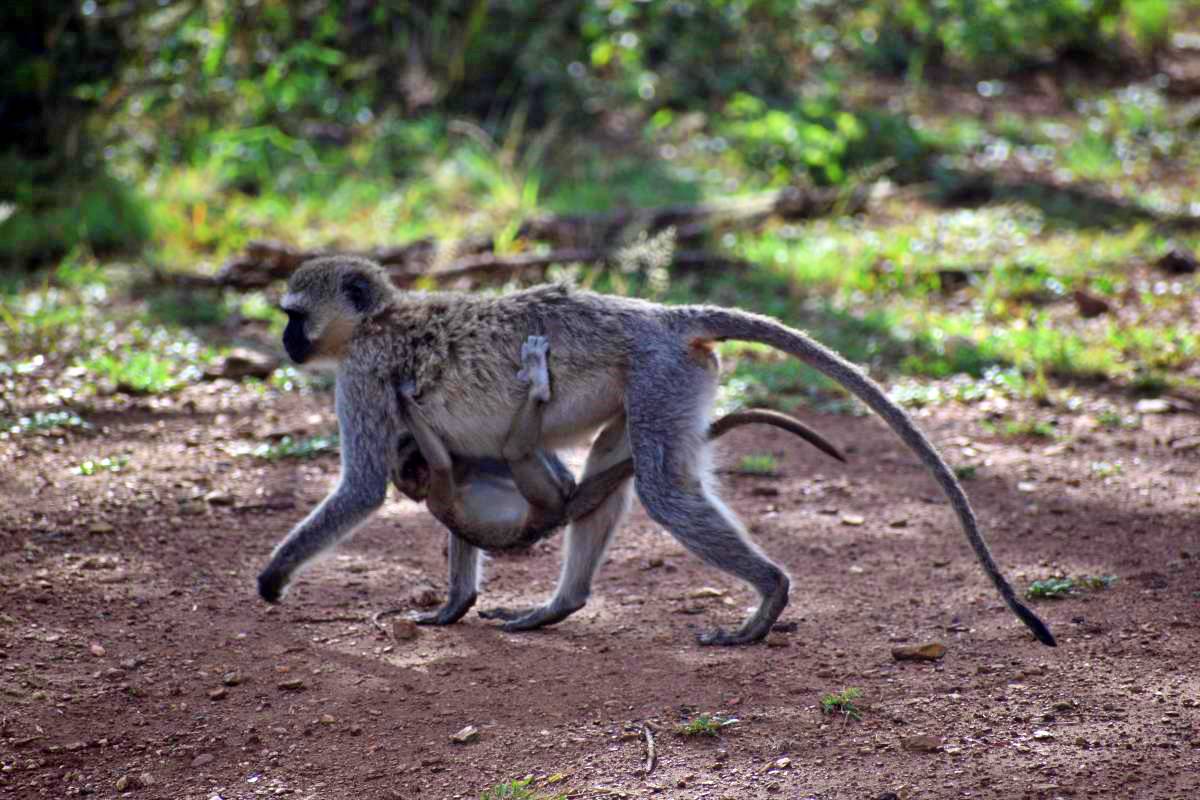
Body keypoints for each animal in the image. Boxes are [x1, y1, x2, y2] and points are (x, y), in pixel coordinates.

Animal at [391, 335, 844, 623]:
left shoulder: (462, 463)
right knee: (532, 456)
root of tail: (556, 511)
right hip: (544, 497)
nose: (406, 460)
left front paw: (406, 400)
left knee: (540, 457)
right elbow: (450, 471)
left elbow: (461, 460)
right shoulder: (447, 481)